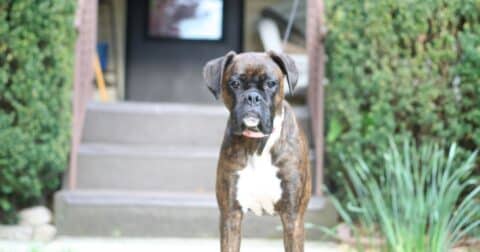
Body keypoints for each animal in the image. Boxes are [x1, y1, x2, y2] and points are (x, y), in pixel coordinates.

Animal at [202, 51, 312, 252]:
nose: (252, 97)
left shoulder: (292, 218)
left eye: (270, 83)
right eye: (235, 83)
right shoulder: (230, 216)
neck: (257, 143)